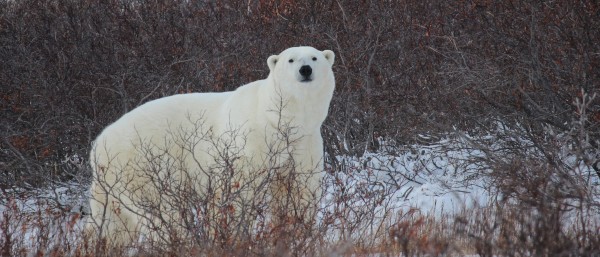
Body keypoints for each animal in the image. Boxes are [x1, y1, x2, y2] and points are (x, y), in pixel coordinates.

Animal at [86, 46, 336, 246]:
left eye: (314, 57)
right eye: (290, 60)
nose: (305, 70)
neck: (278, 120)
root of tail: (97, 145)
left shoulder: (304, 140)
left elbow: (299, 187)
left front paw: (294, 234)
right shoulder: (249, 142)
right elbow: (236, 192)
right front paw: (231, 236)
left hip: (111, 185)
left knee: (112, 224)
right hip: (139, 166)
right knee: (160, 211)